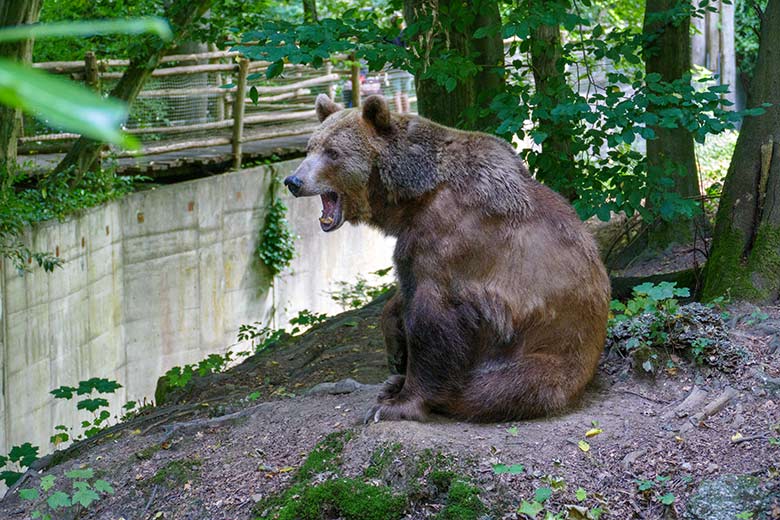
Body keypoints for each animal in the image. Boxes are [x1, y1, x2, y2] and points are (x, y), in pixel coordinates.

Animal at [284, 93, 612, 422]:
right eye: (310, 147)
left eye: (333, 152)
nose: (293, 181)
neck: (413, 198)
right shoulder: (412, 244)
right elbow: (402, 294)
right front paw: (395, 353)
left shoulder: (451, 238)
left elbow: (432, 320)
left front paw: (395, 405)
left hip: (546, 352)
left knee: (500, 388)